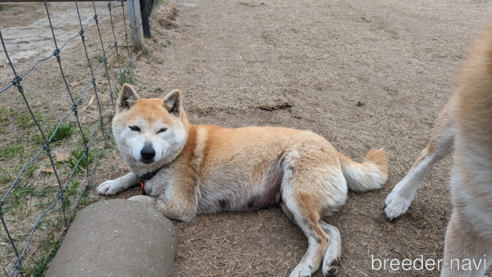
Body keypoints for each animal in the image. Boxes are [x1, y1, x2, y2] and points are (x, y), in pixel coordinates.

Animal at [97, 84, 388, 276]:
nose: (148, 153)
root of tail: (331, 147)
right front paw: (113, 183)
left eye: (161, 130)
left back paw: (305, 268)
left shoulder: (181, 206)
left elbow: (139, 200)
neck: (175, 153)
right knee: (332, 230)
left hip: (295, 199)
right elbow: (133, 177)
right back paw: (330, 262)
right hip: (290, 205)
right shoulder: (146, 176)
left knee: (320, 238)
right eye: (135, 128)